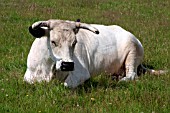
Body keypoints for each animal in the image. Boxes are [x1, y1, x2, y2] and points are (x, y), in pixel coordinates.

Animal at [24, 19, 167, 88]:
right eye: (53, 41)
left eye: (74, 42)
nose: (68, 65)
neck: (48, 68)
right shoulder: (28, 76)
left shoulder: (81, 73)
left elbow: (65, 85)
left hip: (133, 52)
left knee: (132, 74)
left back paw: (121, 80)